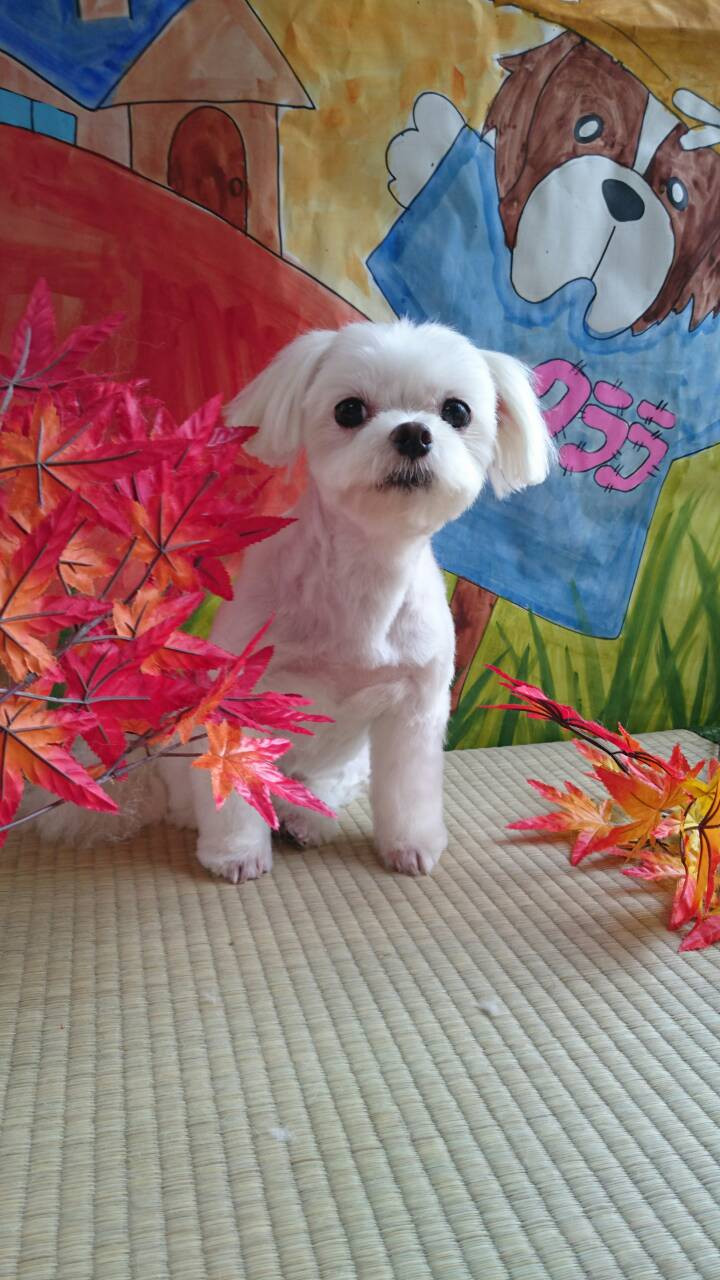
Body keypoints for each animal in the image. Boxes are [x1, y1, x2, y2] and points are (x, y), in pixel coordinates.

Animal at [159, 319, 553, 881]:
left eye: (457, 411)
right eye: (348, 409)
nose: (413, 433)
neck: (365, 574)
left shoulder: (416, 707)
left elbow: (409, 787)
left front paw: (411, 846)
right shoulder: (238, 696)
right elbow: (233, 780)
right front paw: (236, 853)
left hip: (349, 760)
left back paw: (308, 819)